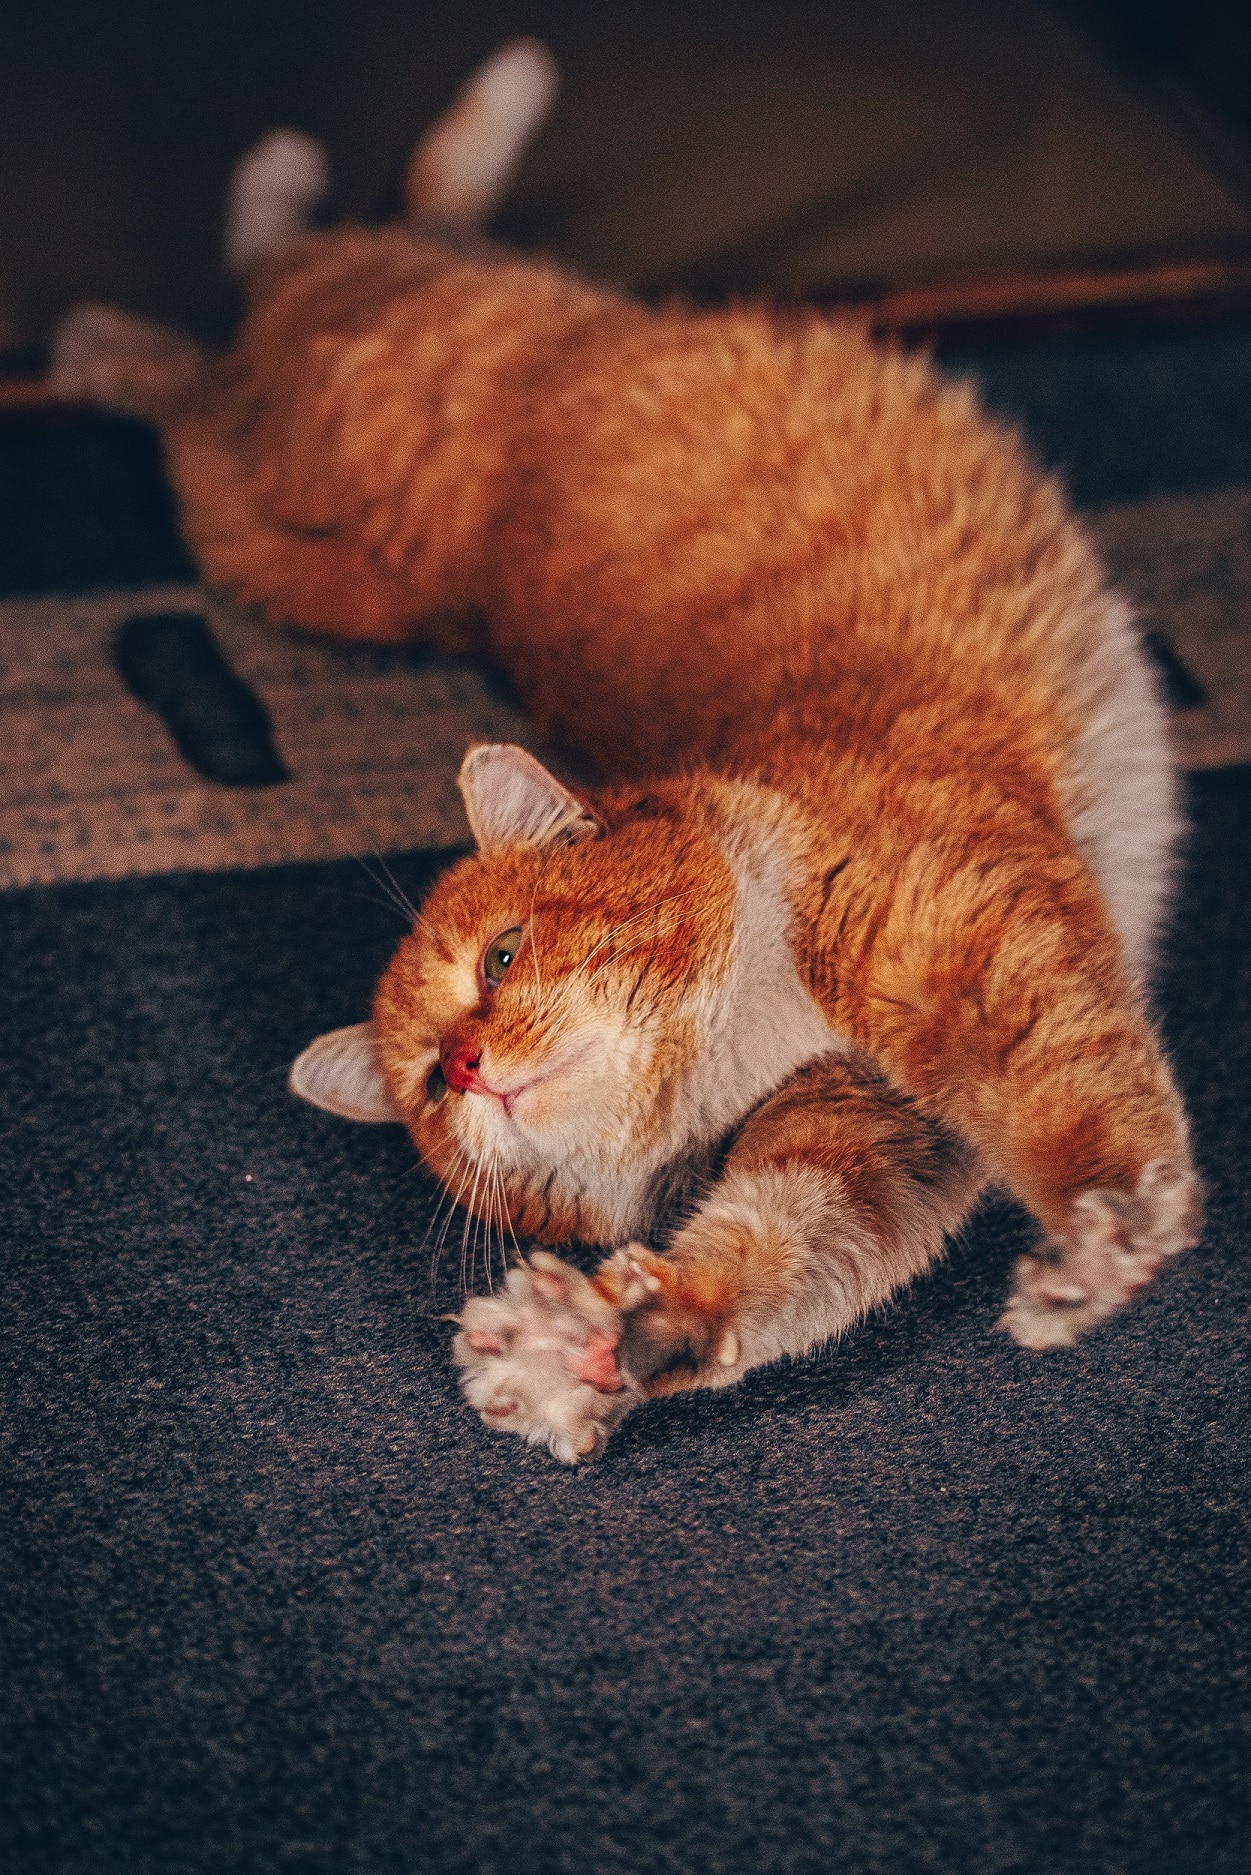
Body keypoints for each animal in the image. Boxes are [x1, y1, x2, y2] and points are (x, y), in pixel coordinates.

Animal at [56, 36, 1200, 1455]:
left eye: (499, 958)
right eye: (426, 1086)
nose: (470, 1063)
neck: (755, 1027)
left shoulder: (984, 941)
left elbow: (1080, 1105)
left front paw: (1101, 1238)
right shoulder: (872, 1141)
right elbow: (773, 1255)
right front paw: (598, 1345)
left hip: (364, 392)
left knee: (316, 257)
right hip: (284, 528)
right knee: (234, 329)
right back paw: (123, 321)